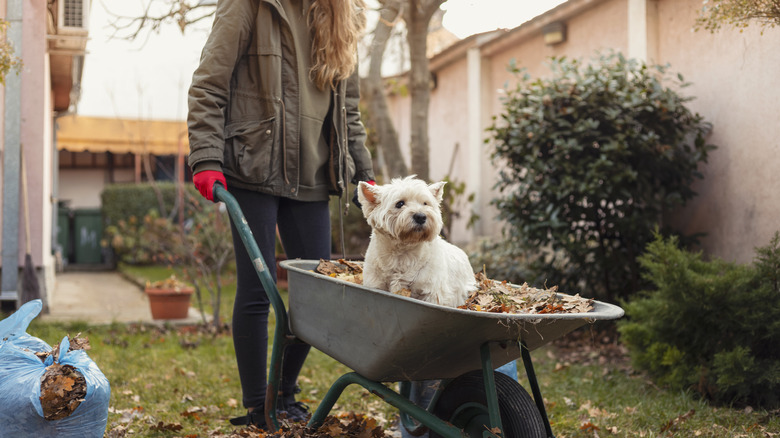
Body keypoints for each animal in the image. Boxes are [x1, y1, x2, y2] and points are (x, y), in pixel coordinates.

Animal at [358, 175, 476, 308]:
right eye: (400, 203)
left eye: (425, 203)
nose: (421, 216)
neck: (403, 253)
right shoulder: (376, 284)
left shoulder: (433, 293)